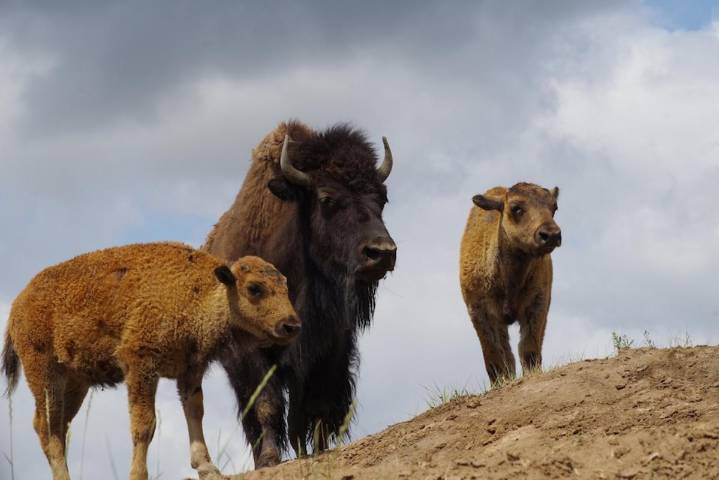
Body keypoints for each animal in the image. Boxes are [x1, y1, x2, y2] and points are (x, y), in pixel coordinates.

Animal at [203, 121, 396, 467]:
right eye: (326, 198)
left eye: (382, 198)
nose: (382, 252)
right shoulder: (251, 353)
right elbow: (268, 405)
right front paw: (270, 458)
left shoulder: (327, 348)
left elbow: (311, 407)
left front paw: (316, 450)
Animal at [459, 182, 561, 384]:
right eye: (516, 208)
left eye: (554, 207)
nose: (552, 234)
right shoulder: (482, 313)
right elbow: (497, 356)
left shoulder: (537, 305)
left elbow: (529, 349)